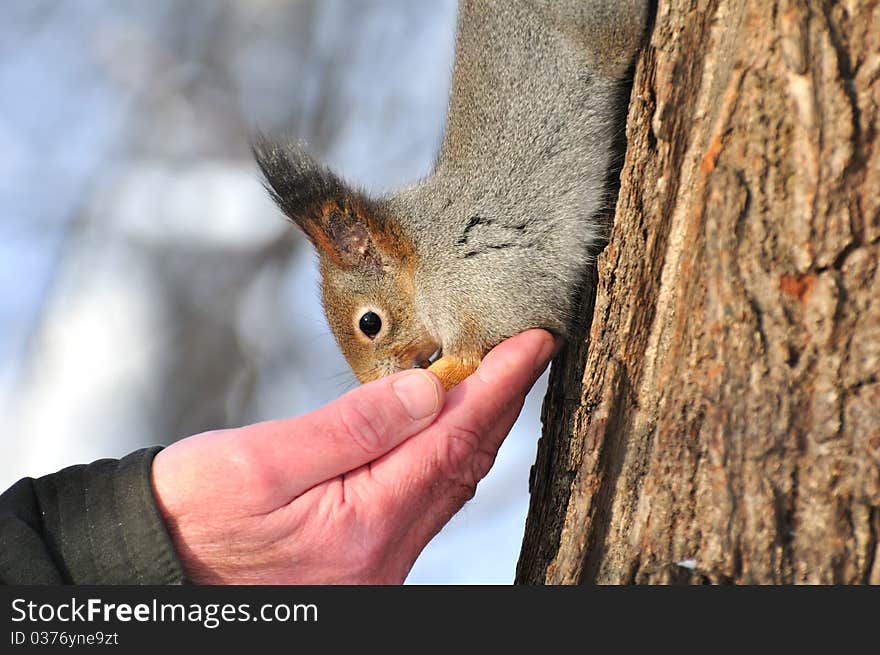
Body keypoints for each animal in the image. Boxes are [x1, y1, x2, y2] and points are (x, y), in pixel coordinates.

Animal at [253, 1, 648, 390]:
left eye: (369, 323)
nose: (372, 382)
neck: (424, 260)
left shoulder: (481, 291)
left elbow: (465, 360)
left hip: (603, 30)